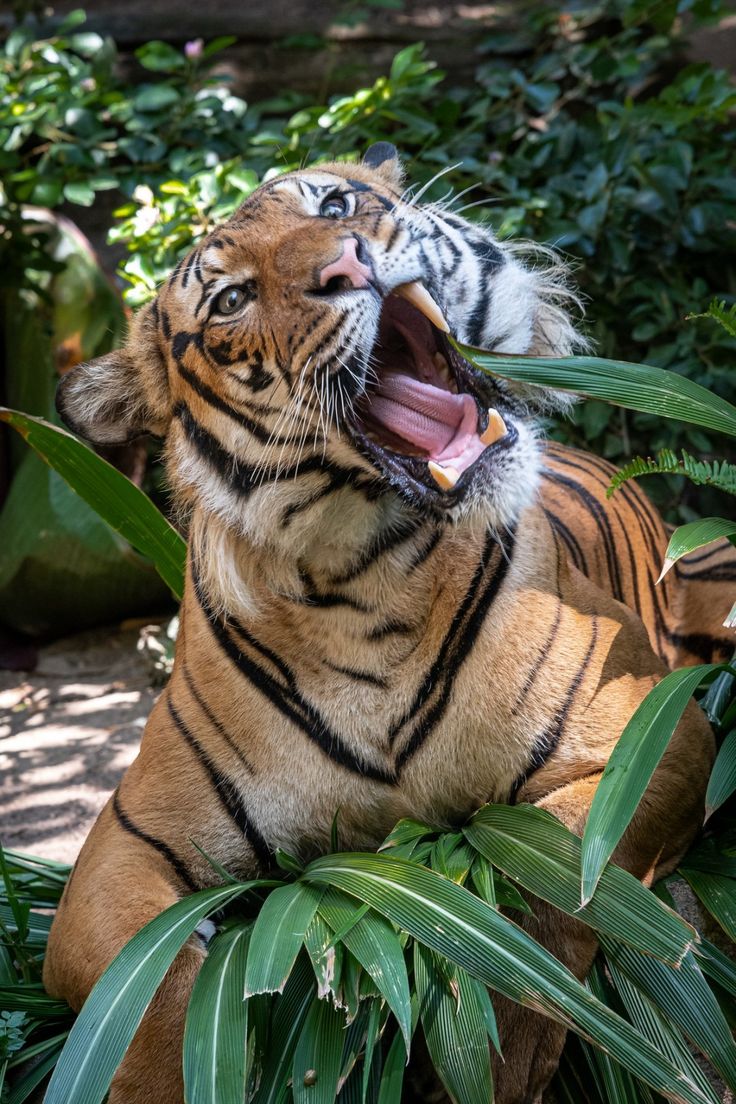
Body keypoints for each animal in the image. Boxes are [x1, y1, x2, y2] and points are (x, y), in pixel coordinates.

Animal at [43, 143, 729, 1104]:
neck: (366, 586)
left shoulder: (653, 732)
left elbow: (553, 878)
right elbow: (148, 1007)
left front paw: (503, 1049)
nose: (348, 263)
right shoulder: (121, 851)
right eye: (232, 299)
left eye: (334, 203)